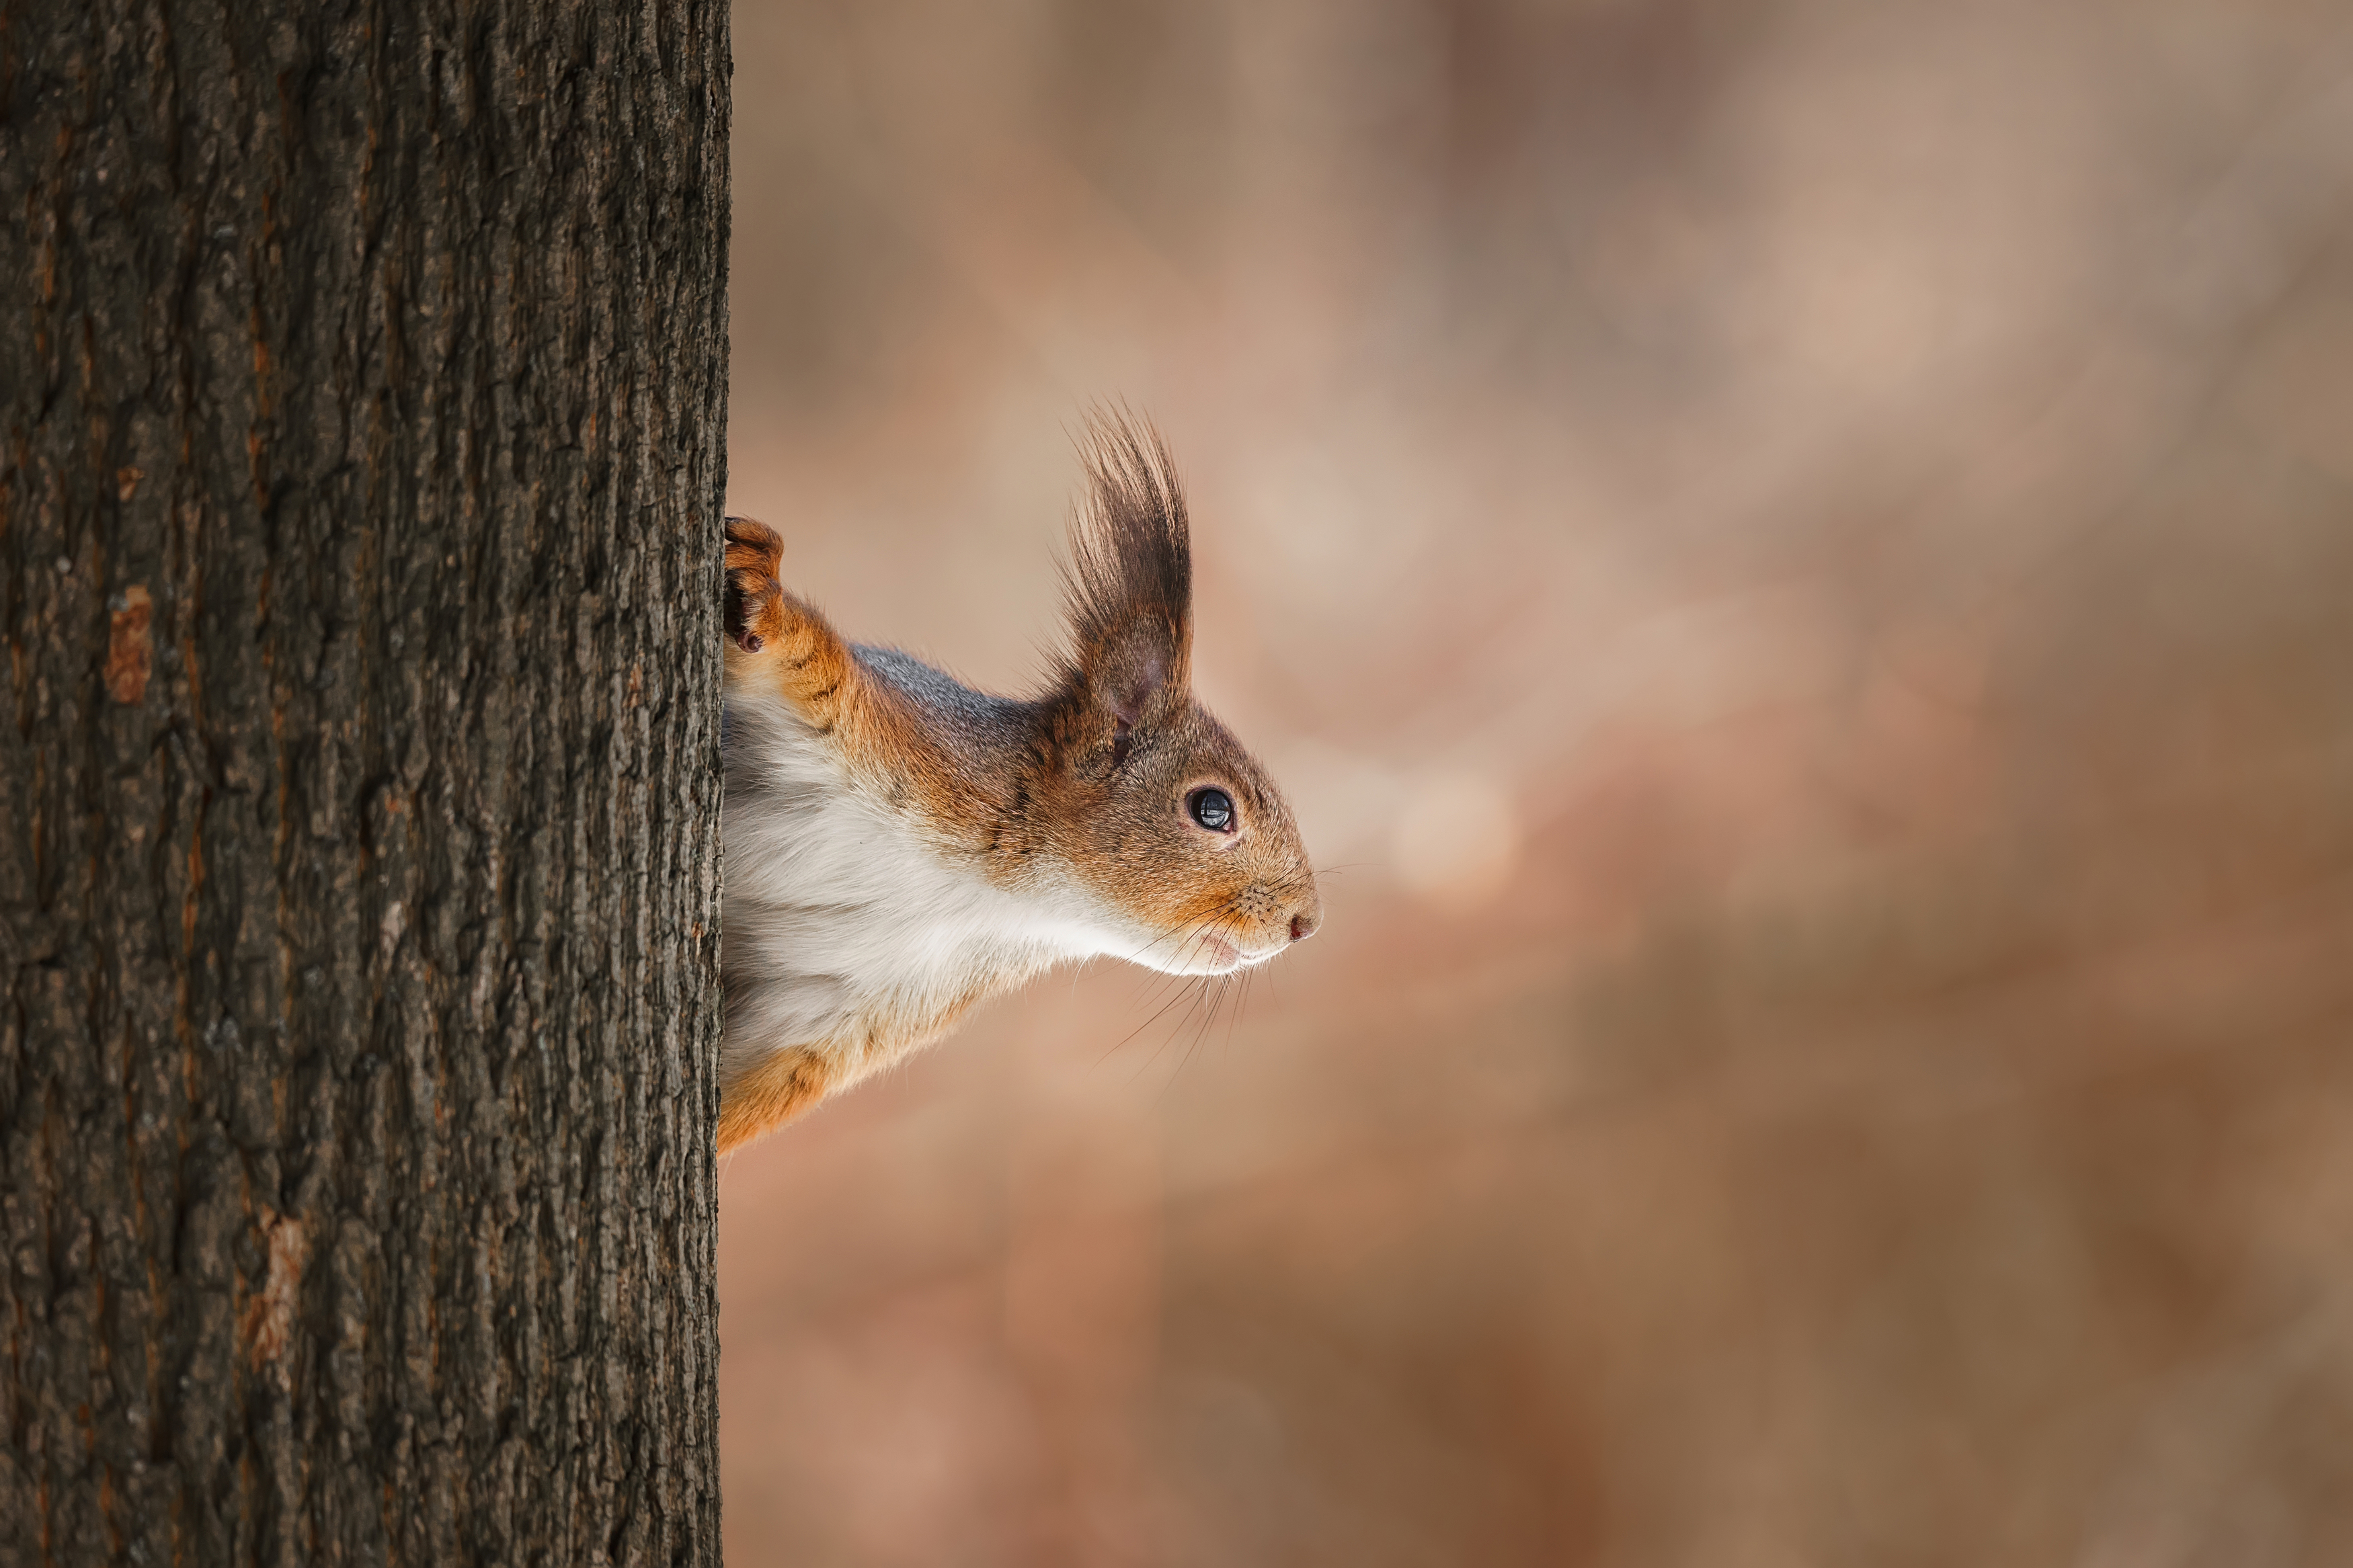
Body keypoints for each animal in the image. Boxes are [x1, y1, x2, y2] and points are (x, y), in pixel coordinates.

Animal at [715, 413, 1327, 1151]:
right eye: (1212, 808)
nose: (1306, 922)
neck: (998, 897)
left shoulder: (842, 1010)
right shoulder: (894, 734)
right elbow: (801, 660)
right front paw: (761, 590)